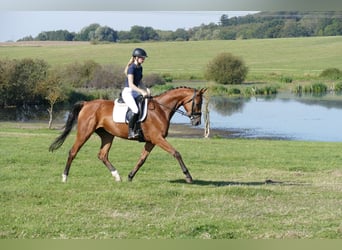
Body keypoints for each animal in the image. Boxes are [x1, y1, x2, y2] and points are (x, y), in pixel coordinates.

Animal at [49, 86, 207, 184]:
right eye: (198, 103)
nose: (197, 121)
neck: (161, 109)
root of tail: (87, 103)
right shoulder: (158, 138)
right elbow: (176, 153)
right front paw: (188, 176)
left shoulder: (152, 141)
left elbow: (142, 159)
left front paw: (130, 176)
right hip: (84, 132)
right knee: (73, 151)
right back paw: (64, 177)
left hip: (107, 135)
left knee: (102, 155)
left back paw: (117, 176)